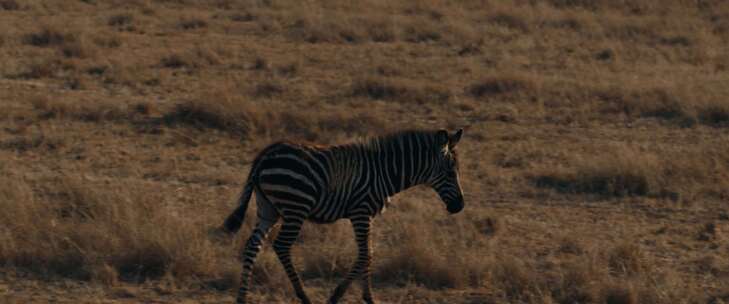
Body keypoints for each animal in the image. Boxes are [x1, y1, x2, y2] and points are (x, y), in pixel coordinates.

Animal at [219, 129, 464, 304]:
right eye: (450, 173)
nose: (459, 206)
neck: (385, 172)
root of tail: (265, 154)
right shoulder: (361, 212)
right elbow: (365, 253)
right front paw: (340, 296)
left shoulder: (367, 215)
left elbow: (368, 252)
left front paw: (366, 297)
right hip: (295, 207)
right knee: (281, 245)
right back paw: (304, 297)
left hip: (268, 208)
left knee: (253, 245)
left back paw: (242, 298)